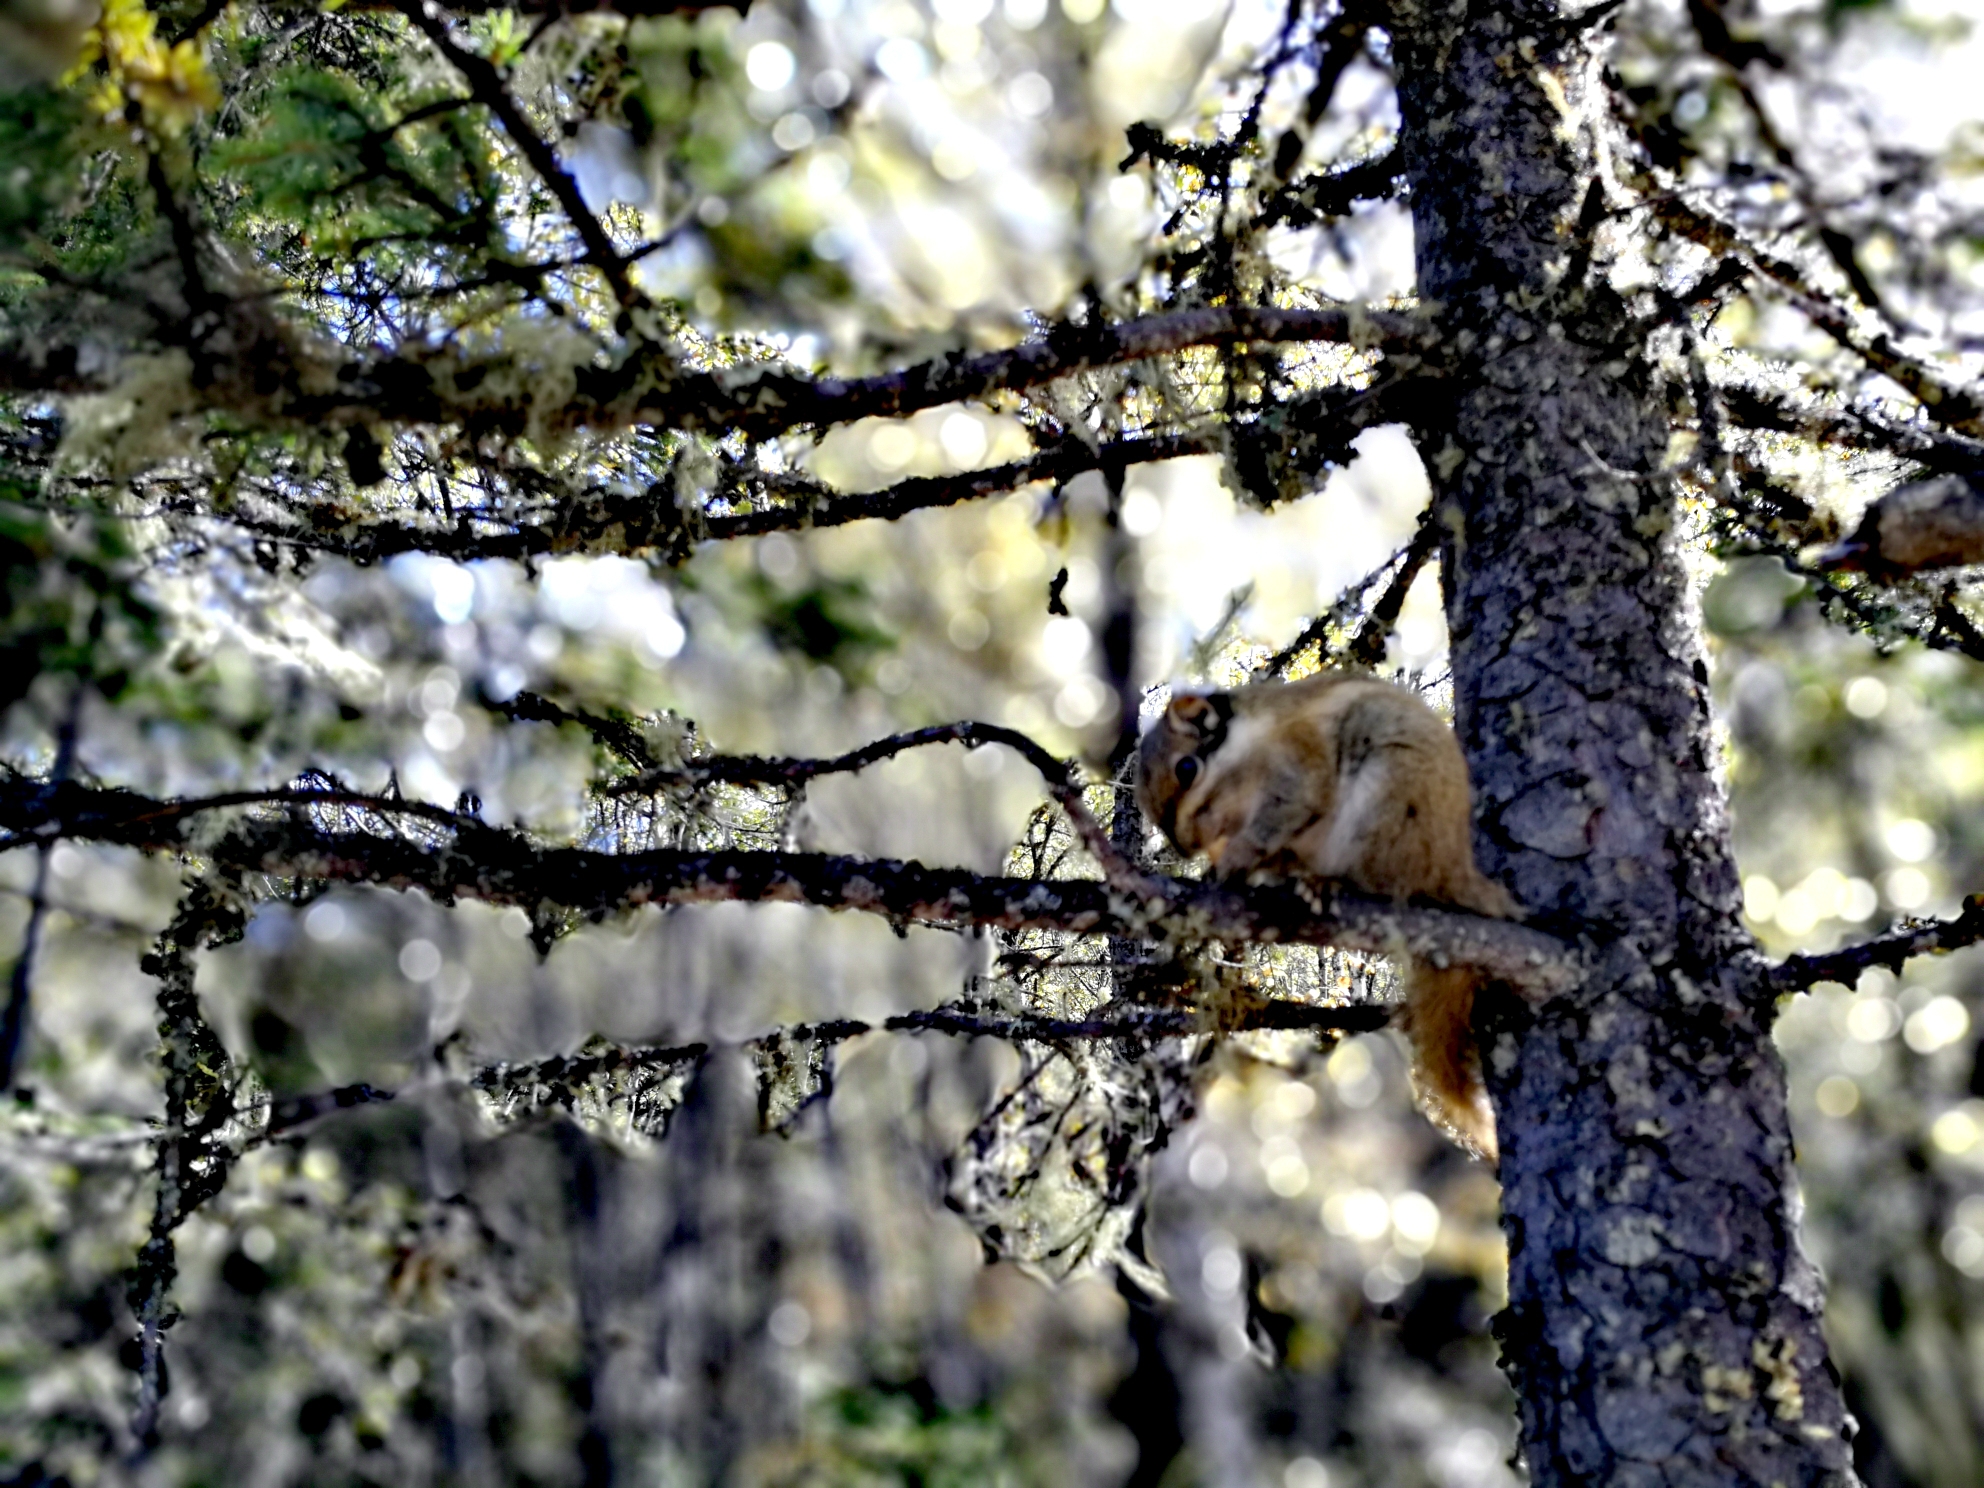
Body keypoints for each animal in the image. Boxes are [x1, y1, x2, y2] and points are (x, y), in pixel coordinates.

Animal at [1134, 674, 1515, 1166]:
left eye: (1185, 768)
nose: (1183, 848)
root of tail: (1454, 872)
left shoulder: (1297, 767)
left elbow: (1284, 813)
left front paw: (1237, 858)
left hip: (1389, 791)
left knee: (1380, 879)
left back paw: (1325, 883)